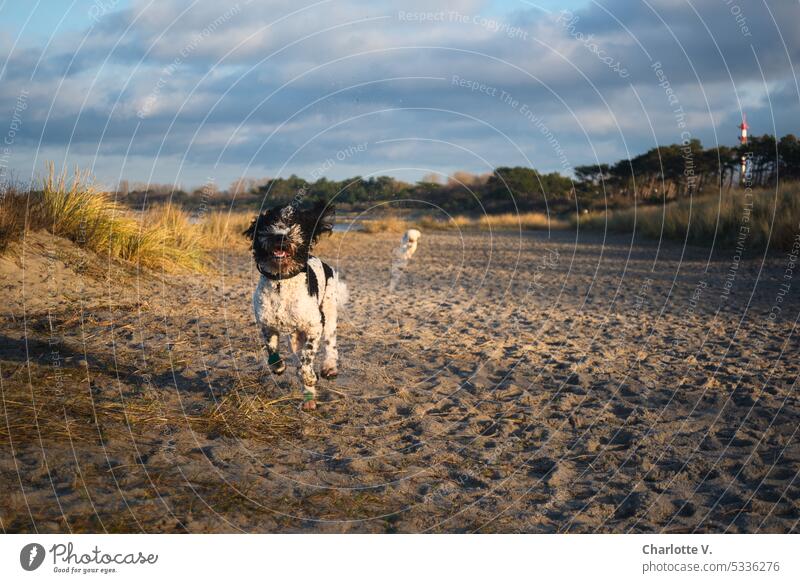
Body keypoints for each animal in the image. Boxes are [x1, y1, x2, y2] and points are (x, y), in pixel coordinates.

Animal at [242, 203, 346, 412]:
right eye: (271, 221)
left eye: (293, 223)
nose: (281, 236)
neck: (281, 282)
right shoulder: (267, 324)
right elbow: (272, 349)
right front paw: (278, 367)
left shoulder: (315, 326)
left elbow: (307, 358)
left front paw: (309, 376)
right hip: (295, 337)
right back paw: (309, 399)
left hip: (329, 312)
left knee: (330, 344)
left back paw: (329, 368)